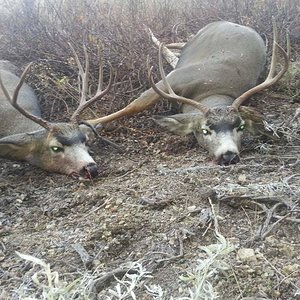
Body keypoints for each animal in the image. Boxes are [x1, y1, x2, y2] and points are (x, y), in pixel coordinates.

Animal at [83, 19, 290, 165]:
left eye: (240, 127)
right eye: (204, 130)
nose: (229, 156)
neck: (211, 89)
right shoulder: (174, 79)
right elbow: (135, 105)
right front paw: (88, 124)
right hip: (195, 39)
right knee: (176, 44)